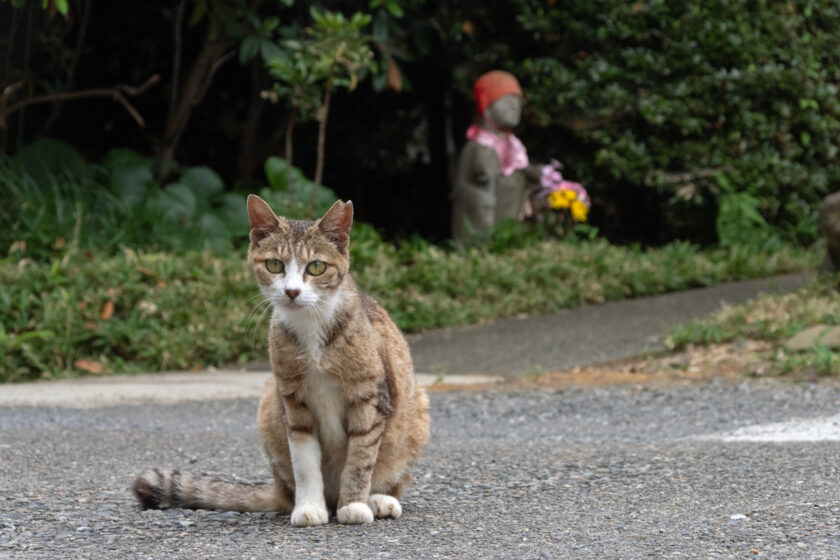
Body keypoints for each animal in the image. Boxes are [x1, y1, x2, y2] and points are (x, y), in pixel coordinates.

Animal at [135, 196, 434, 524]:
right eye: (274, 265)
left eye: (316, 267)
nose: (292, 291)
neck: (311, 327)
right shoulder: (293, 401)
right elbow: (304, 462)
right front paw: (309, 507)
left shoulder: (370, 397)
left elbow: (360, 457)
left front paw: (354, 504)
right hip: (269, 405)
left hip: (417, 409)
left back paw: (378, 500)